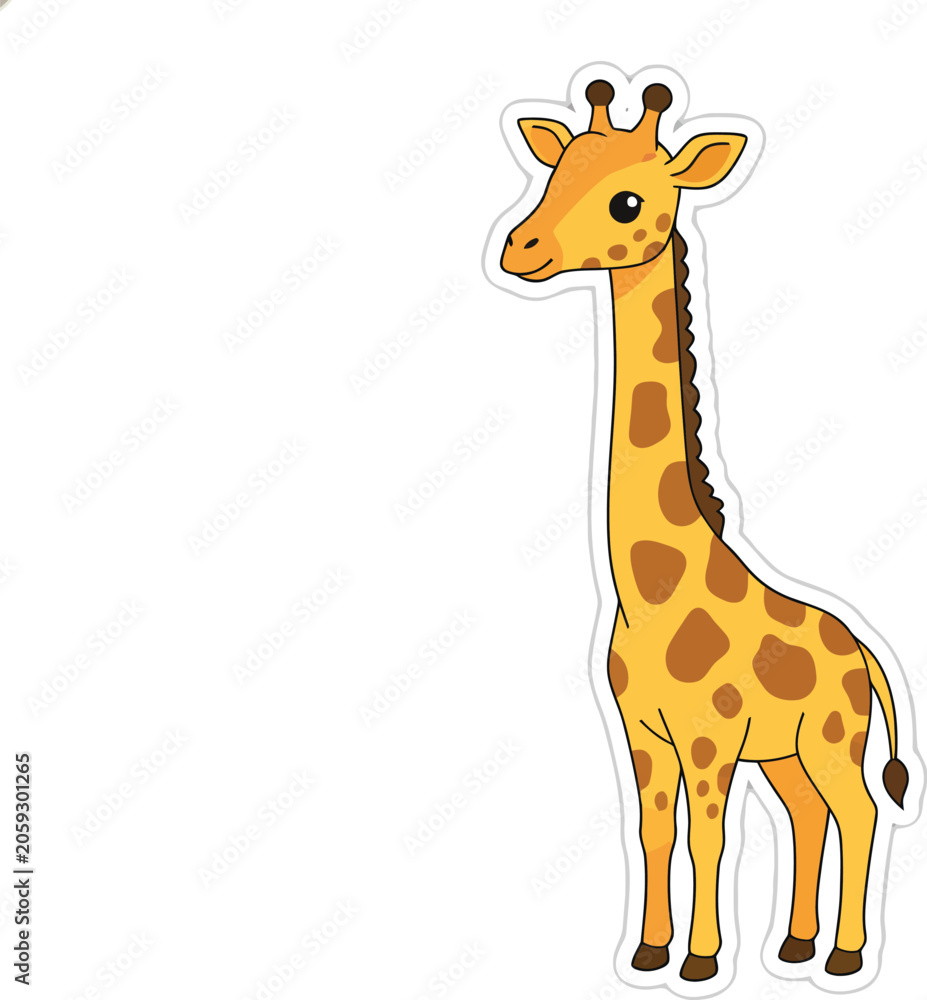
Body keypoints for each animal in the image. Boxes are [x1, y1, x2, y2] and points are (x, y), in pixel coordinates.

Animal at [497, 76, 911, 984]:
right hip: (786, 753)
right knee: (807, 815)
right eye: (553, 175)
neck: (648, 591)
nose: (519, 248)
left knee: (858, 812)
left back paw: (841, 956)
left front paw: (697, 962)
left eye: (626, 201)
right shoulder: (644, 735)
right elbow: (653, 833)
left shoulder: (709, 739)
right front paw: (649, 951)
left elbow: (709, 838)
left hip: (831, 738)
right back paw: (793, 945)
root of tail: (861, 652)